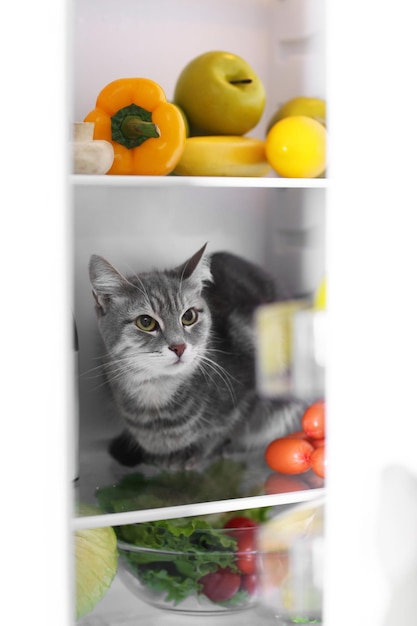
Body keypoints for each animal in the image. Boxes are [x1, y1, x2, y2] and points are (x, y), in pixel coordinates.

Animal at [88, 241, 306, 466]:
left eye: (189, 316)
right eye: (145, 322)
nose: (179, 347)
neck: (156, 395)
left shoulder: (253, 385)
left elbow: (223, 430)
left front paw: (196, 452)